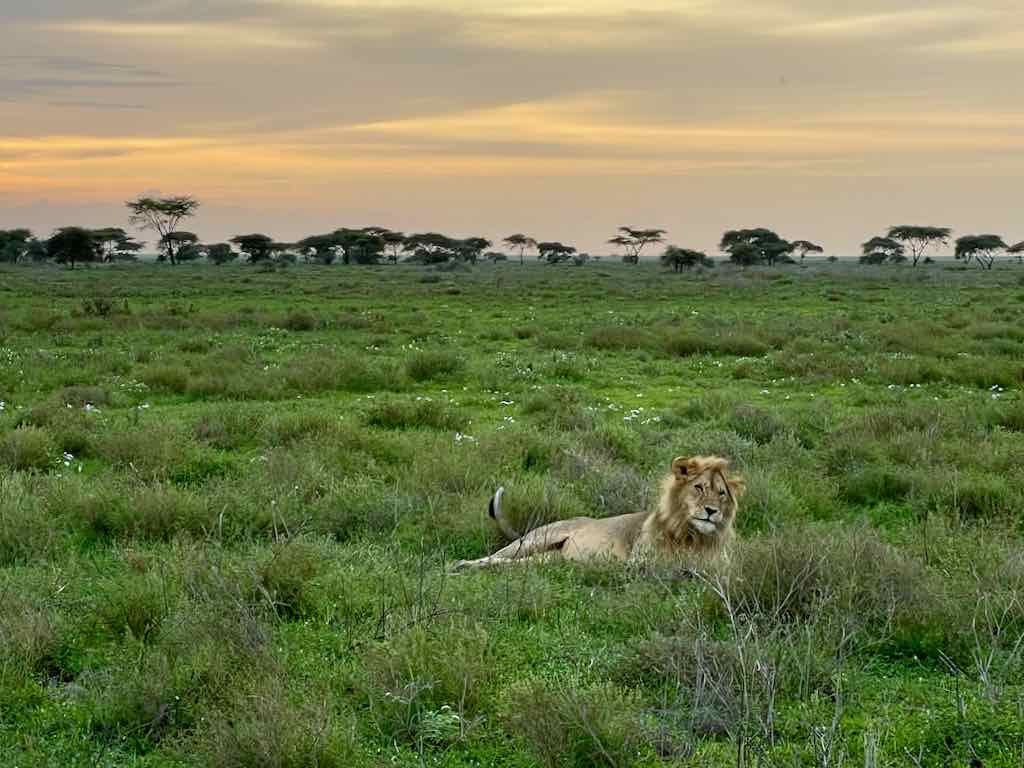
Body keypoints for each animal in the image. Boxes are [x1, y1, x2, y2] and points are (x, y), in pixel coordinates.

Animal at [450, 455, 744, 571]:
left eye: (722, 493)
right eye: (698, 487)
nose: (711, 511)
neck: (693, 537)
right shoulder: (639, 562)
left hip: (550, 559)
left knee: (513, 565)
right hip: (535, 540)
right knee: (495, 556)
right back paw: (460, 565)